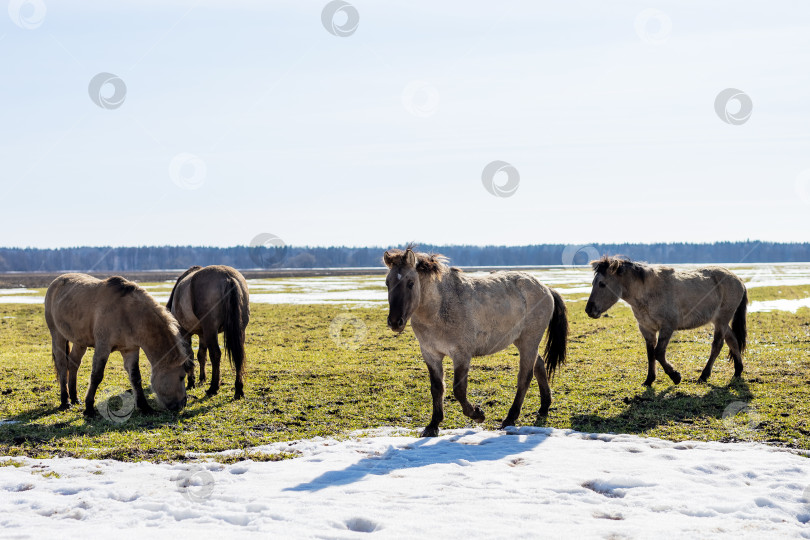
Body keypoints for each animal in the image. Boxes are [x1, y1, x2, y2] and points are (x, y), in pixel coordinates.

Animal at [44, 273, 193, 416]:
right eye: (181, 377)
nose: (182, 404)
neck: (128, 314)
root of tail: (56, 282)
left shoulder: (130, 350)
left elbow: (135, 377)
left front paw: (145, 407)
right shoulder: (103, 348)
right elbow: (96, 376)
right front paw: (89, 409)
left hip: (79, 342)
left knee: (73, 363)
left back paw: (75, 398)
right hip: (57, 336)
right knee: (62, 365)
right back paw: (65, 402)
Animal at [166, 265, 250, 399]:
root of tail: (228, 277)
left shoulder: (185, 333)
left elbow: (190, 355)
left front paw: (191, 382)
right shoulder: (202, 335)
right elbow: (201, 355)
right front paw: (201, 379)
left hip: (211, 330)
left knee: (215, 354)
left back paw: (213, 388)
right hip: (239, 330)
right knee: (239, 355)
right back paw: (238, 389)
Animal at [383, 246, 568, 437]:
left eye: (411, 283)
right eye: (388, 283)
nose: (395, 322)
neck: (439, 308)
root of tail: (545, 288)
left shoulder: (461, 354)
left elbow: (459, 390)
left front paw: (478, 414)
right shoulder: (430, 354)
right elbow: (437, 388)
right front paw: (433, 425)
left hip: (529, 341)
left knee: (525, 376)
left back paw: (510, 418)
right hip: (522, 341)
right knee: (539, 365)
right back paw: (544, 407)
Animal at [585, 256, 747, 385]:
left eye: (602, 284)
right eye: (593, 283)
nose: (589, 310)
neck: (648, 293)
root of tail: (739, 280)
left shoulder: (667, 327)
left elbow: (658, 353)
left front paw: (675, 376)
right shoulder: (647, 329)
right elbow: (651, 354)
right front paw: (649, 380)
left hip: (721, 320)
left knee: (717, 345)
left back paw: (704, 376)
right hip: (720, 321)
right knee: (732, 340)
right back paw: (737, 371)